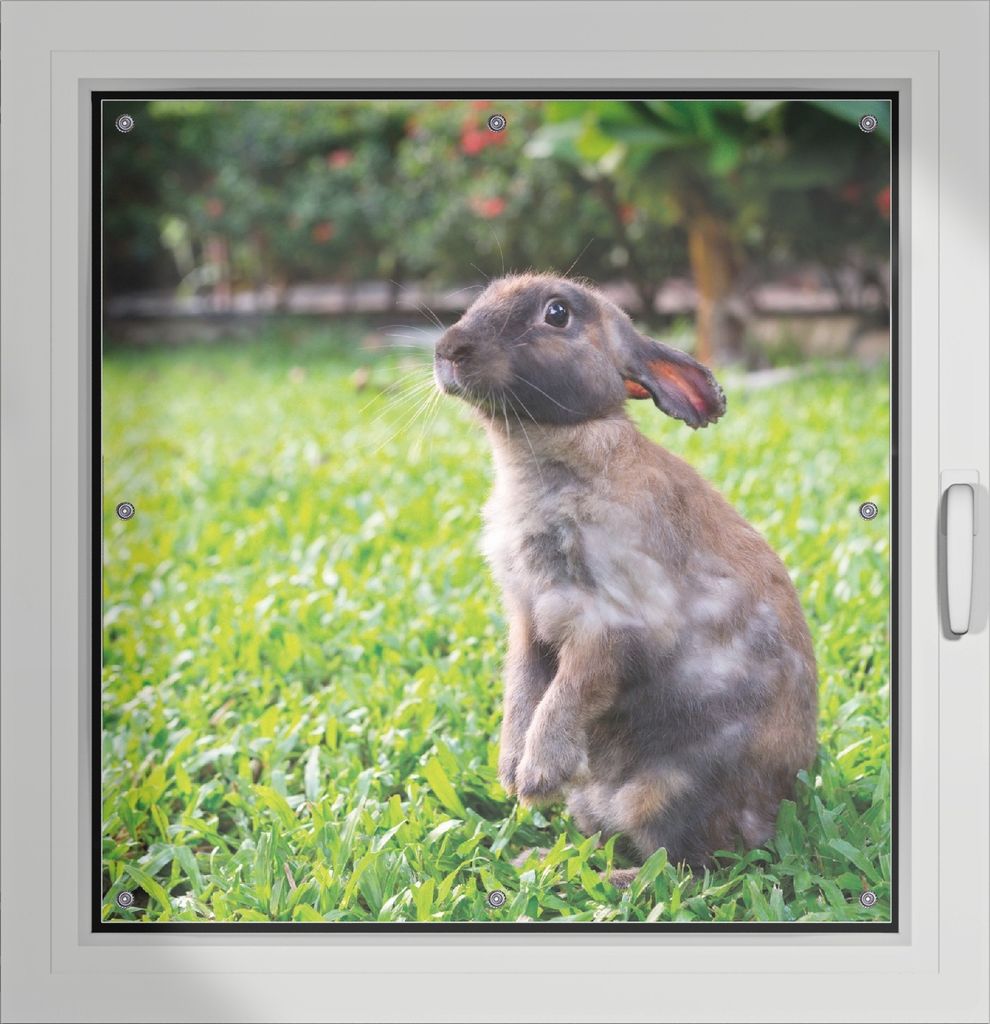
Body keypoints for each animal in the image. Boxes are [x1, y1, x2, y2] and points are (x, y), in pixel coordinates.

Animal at [433, 272, 818, 876]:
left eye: (558, 313)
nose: (448, 350)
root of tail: (773, 814)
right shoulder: (527, 621)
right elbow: (522, 688)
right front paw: (511, 770)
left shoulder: (609, 624)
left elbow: (570, 690)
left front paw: (535, 777)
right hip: (595, 801)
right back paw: (539, 861)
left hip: (666, 794)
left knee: (682, 867)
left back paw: (610, 877)